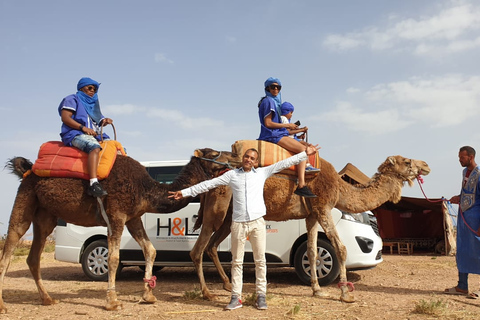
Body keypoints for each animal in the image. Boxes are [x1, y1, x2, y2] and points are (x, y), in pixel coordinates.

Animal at [0, 149, 240, 314]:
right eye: (215, 153)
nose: (236, 156)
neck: (145, 188)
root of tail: (28, 170)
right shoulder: (116, 214)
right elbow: (114, 257)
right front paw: (112, 301)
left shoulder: (133, 217)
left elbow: (150, 250)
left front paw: (148, 295)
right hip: (25, 199)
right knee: (10, 246)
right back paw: (3, 305)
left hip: (45, 216)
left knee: (33, 257)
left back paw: (47, 299)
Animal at [186, 151, 430, 302]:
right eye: (407, 161)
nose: (426, 165)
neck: (340, 187)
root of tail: (212, 181)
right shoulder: (323, 208)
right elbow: (341, 249)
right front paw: (345, 294)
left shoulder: (312, 215)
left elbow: (313, 252)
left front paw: (317, 290)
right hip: (216, 212)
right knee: (197, 250)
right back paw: (206, 293)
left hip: (228, 217)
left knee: (212, 246)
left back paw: (227, 285)